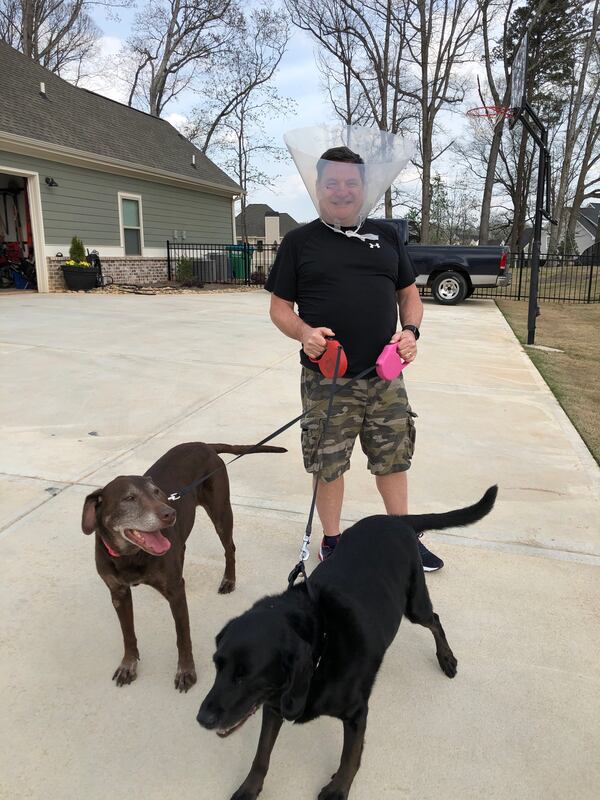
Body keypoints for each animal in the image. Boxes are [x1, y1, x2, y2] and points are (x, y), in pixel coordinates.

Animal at [81, 440, 286, 692]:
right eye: (129, 498)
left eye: (157, 493)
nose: (170, 513)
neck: (130, 556)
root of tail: (204, 444)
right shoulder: (118, 593)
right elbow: (127, 634)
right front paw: (128, 665)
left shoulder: (176, 592)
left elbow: (182, 636)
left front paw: (186, 671)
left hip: (221, 512)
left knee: (230, 548)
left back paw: (229, 579)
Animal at [197, 484, 496, 796]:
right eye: (217, 665)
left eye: (246, 676)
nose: (202, 719)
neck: (322, 642)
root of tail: (395, 519)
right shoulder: (274, 704)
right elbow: (261, 755)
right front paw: (249, 788)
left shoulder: (356, 713)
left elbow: (349, 758)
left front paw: (338, 789)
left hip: (415, 605)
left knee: (434, 619)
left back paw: (446, 658)